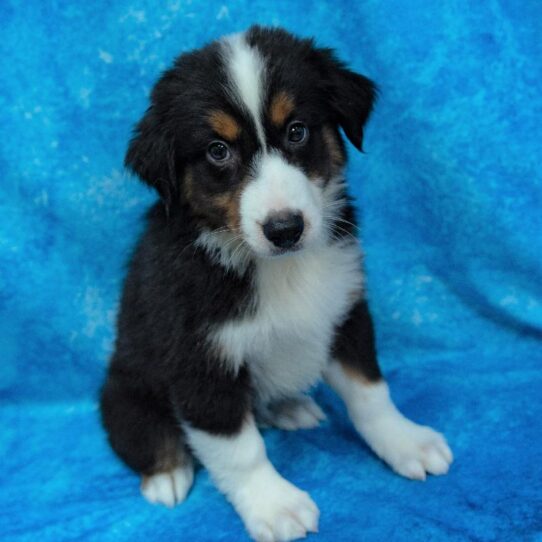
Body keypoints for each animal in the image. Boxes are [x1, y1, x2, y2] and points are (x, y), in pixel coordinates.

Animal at [101, 25, 454, 542]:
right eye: (218, 150)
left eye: (297, 130)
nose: (285, 229)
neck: (279, 267)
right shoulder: (199, 360)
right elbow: (240, 449)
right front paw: (276, 506)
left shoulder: (345, 309)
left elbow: (370, 392)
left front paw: (406, 441)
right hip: (126, 387)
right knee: (143, 432)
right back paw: (167, 472)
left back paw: (290, 408)